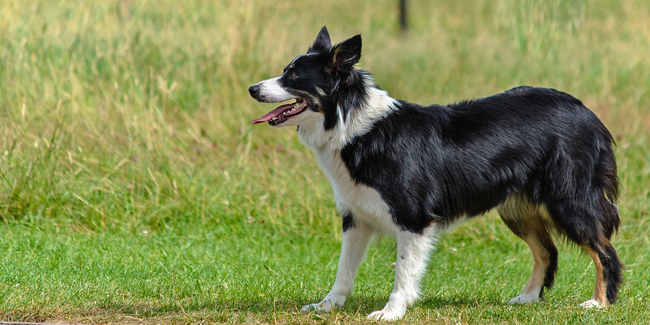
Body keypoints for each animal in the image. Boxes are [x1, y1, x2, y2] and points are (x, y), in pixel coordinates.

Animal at [247, 26, 616, 318]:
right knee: (547, 251)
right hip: (516, 208)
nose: (252, 89)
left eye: (294, 77)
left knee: (603, 249)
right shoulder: (356, 216)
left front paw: (391, 312)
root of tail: (584, 110)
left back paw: (599, 302)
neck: (351, 124)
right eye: (285, 71)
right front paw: (327, 306)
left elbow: (403, 272)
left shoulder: (413, 218)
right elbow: (343, 271)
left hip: (568, 200)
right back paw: (527, 299)